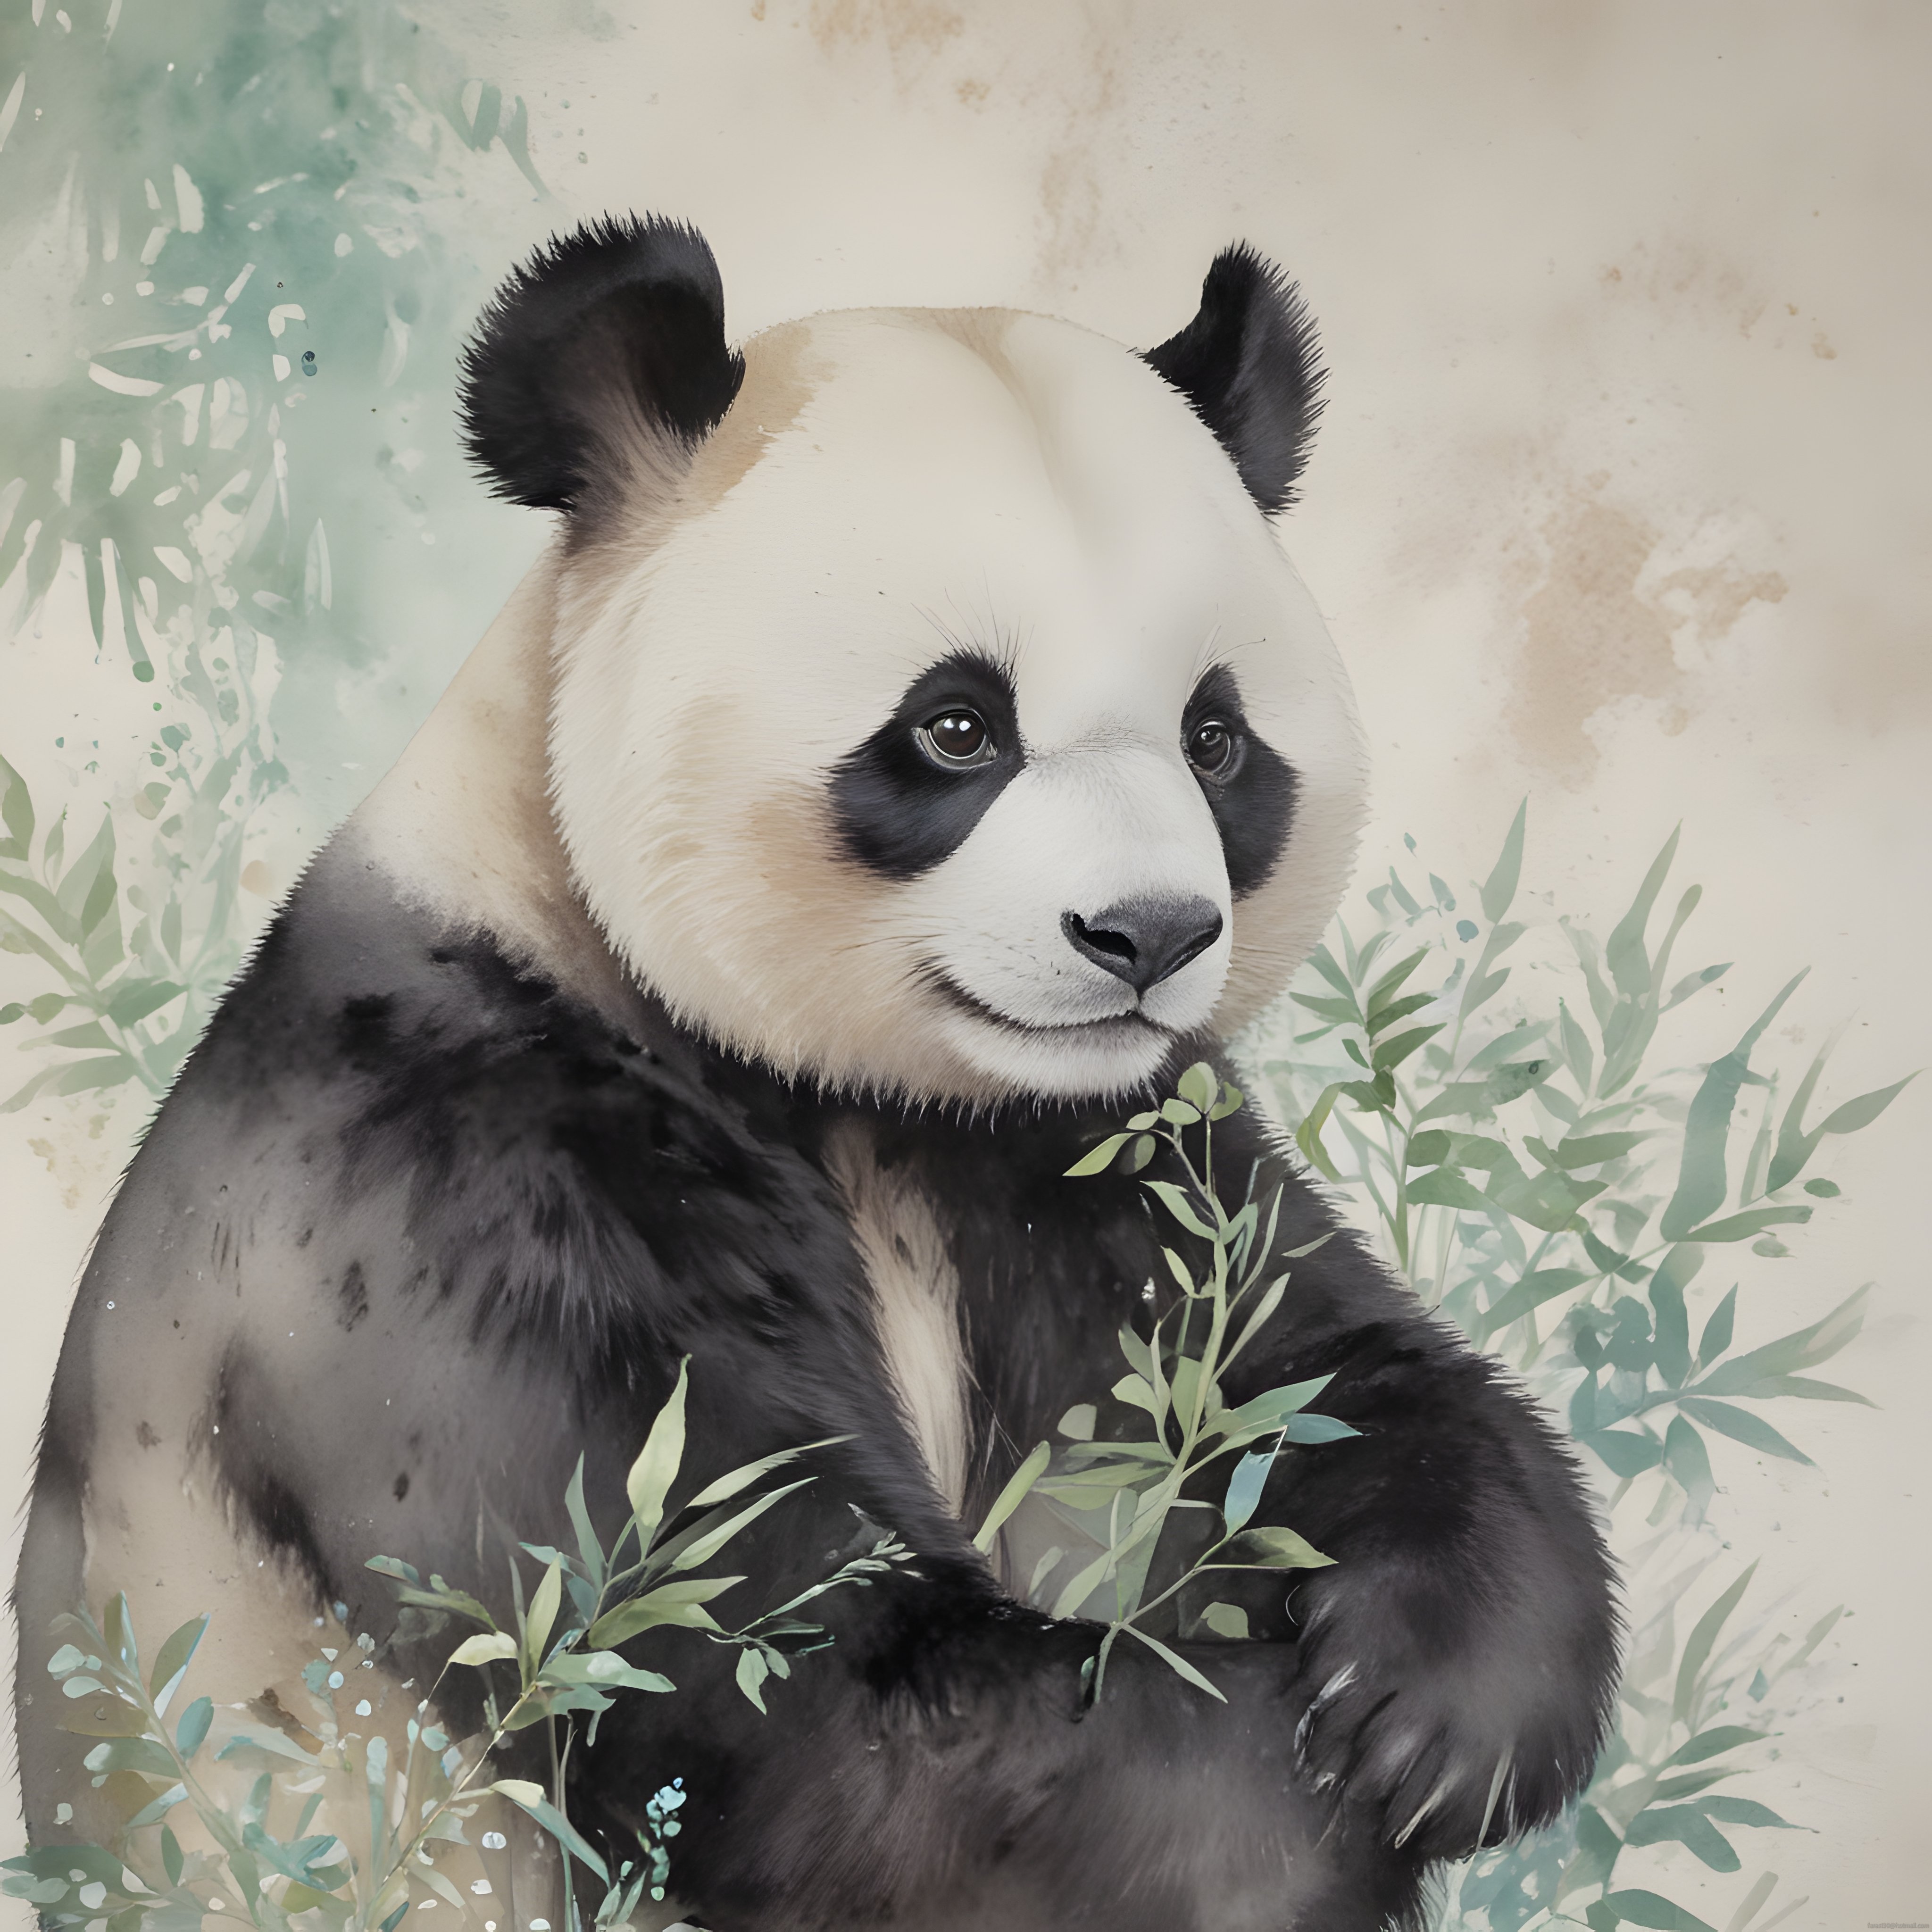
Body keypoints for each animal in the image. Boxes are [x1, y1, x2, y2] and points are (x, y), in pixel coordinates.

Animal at [16, 215, 1618, 1932]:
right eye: (956, 724)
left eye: (1216, 738)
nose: (1149, 934)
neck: (845, 1097)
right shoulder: (446, 1193)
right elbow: (797, 1675)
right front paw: (1314, 1799)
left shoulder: (1078, 1156)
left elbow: (1304, 1358)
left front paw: (1431, 1707)